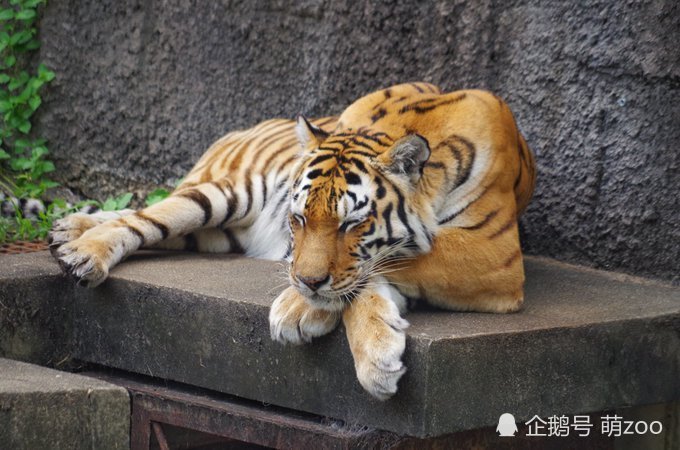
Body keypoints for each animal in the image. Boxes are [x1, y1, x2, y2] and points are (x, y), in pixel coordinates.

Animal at [49, 82, 535, 400]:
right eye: (299, 218)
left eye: (350, 224)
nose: (307, 283)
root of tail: (241, 128)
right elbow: (377, 270)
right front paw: (315, 316)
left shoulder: (493, 252)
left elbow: (387, 265)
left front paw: (327, 325)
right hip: (226, 194)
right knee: (146, 217)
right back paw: (78, 249)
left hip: (216, 233)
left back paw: (66, 231)